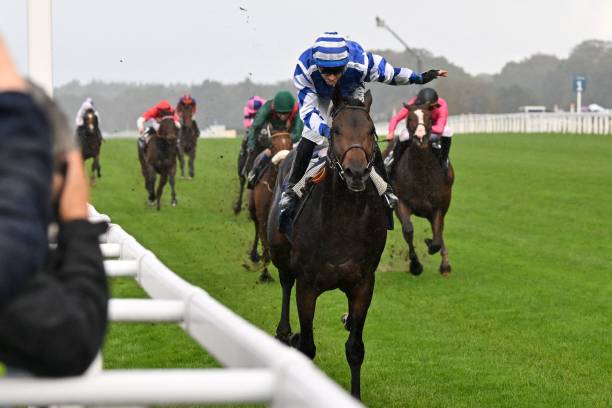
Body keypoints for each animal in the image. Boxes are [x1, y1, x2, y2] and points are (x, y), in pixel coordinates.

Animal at [246, 130, 294, 280]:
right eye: (272, 145)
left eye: (291, 143)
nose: (284, 162)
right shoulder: (262, 216)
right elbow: (264, 241)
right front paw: (265, 274)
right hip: (252, 209)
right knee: (256, 229)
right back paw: (254, 255)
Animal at [268, 87, 388, 402]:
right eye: (335, 130)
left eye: (372, 131)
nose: (356, 172)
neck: (343, 223)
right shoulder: (307, 285)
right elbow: (307, 347)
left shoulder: (363, 284)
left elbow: (355, 349)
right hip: (280, 256)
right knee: (285, 283)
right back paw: (284, 332)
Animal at [392, 103, 454, 276]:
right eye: (409, 119)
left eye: (429, 118)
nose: (420, 138)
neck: (421, 175)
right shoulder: (401, 202)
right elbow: (408, 231)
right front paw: (415, 265)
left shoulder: (438, 207)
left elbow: (437, 238)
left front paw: (430, 244)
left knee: (439, 232)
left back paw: (445, 265)